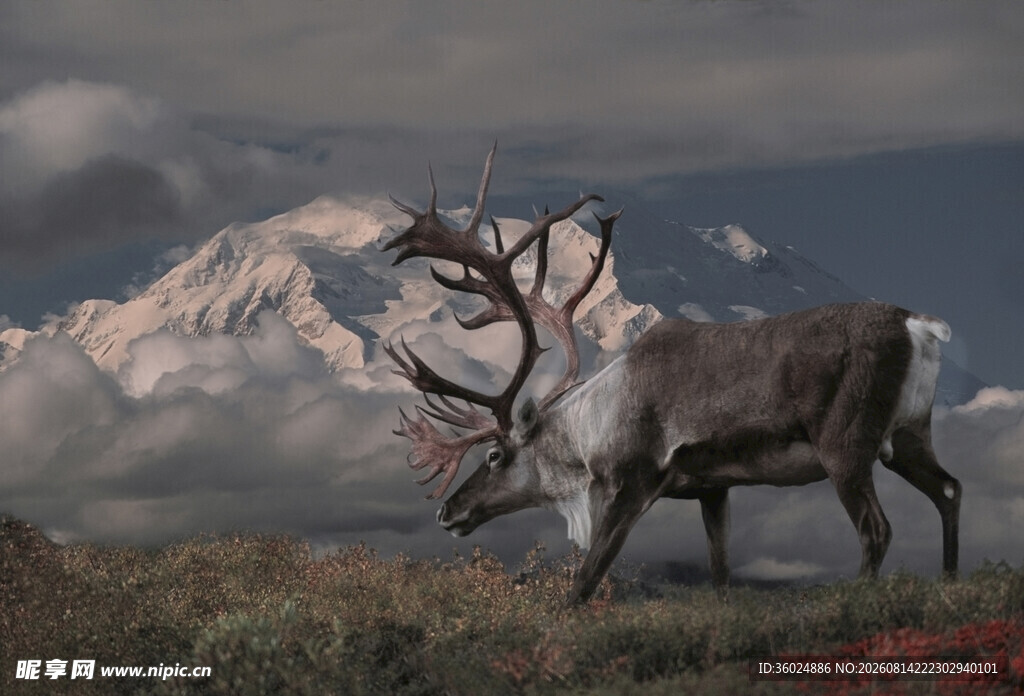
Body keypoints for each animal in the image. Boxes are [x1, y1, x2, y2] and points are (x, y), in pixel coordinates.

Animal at [381, 146, 961, 605]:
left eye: (495, 456)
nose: (448, 513)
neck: (590, 430)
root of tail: (918, 326)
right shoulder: (713, 487)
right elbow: (720, 572)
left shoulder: (632, 481)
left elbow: (587, 579)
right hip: (908, 434)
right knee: (949, 490)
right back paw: (951, 586)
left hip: (845, 443)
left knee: (877, 529)